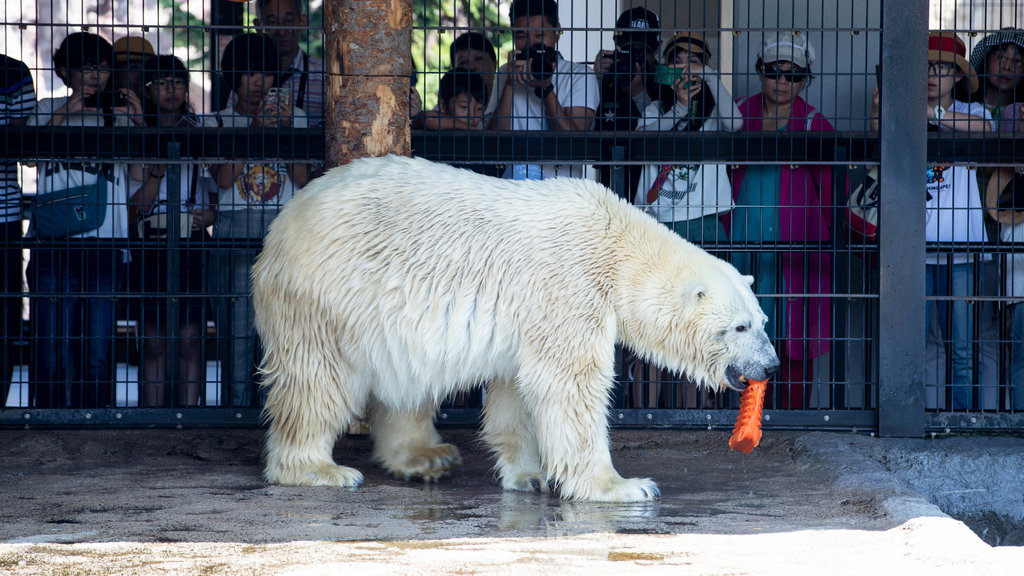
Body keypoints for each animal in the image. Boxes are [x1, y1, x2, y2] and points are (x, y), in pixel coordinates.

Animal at [251, 154, 778, 500]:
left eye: (762, 321)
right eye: (739, 328)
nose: (771, 366)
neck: (617, 245)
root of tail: (281, 225)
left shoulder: (529, 318)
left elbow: (517, 388)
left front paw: (529, 475)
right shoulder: (569, 287)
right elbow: (570, 383)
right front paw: (624, 486)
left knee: (405, 379)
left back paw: (427, 456)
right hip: (331, 297)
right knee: (318, 379)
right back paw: (321, 469)